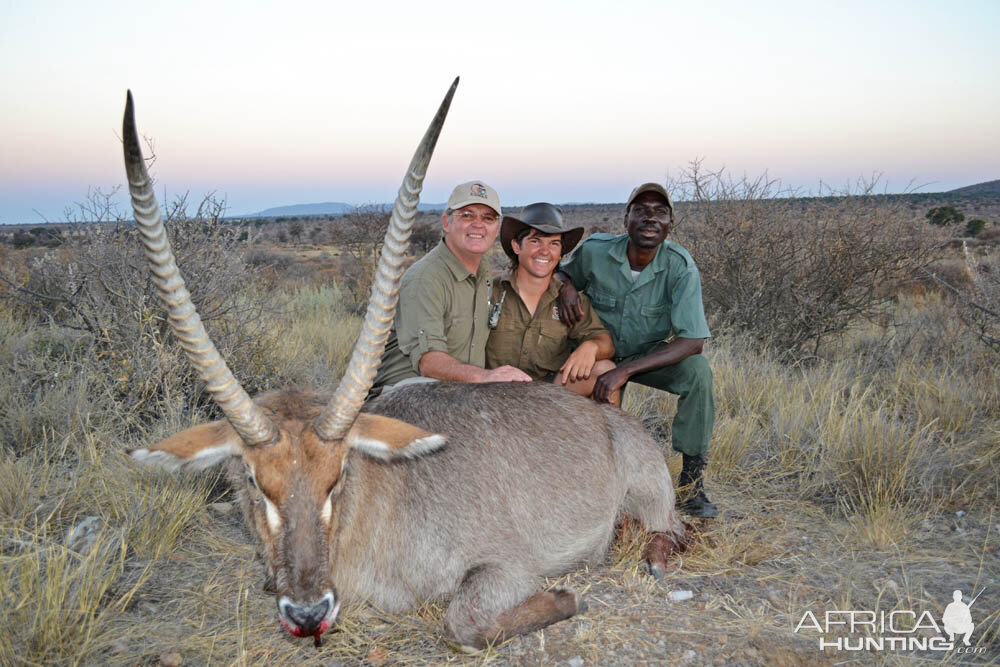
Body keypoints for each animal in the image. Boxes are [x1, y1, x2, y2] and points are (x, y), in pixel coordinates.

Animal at [123, 79, 688, 652]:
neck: (387, 494)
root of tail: (615, 421)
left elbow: (462, 623)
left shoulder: (510, 568)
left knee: (670, 530)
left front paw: (567, 598)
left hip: (653, 500)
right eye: (255, 484)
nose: (307, 612)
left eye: (338, 476)